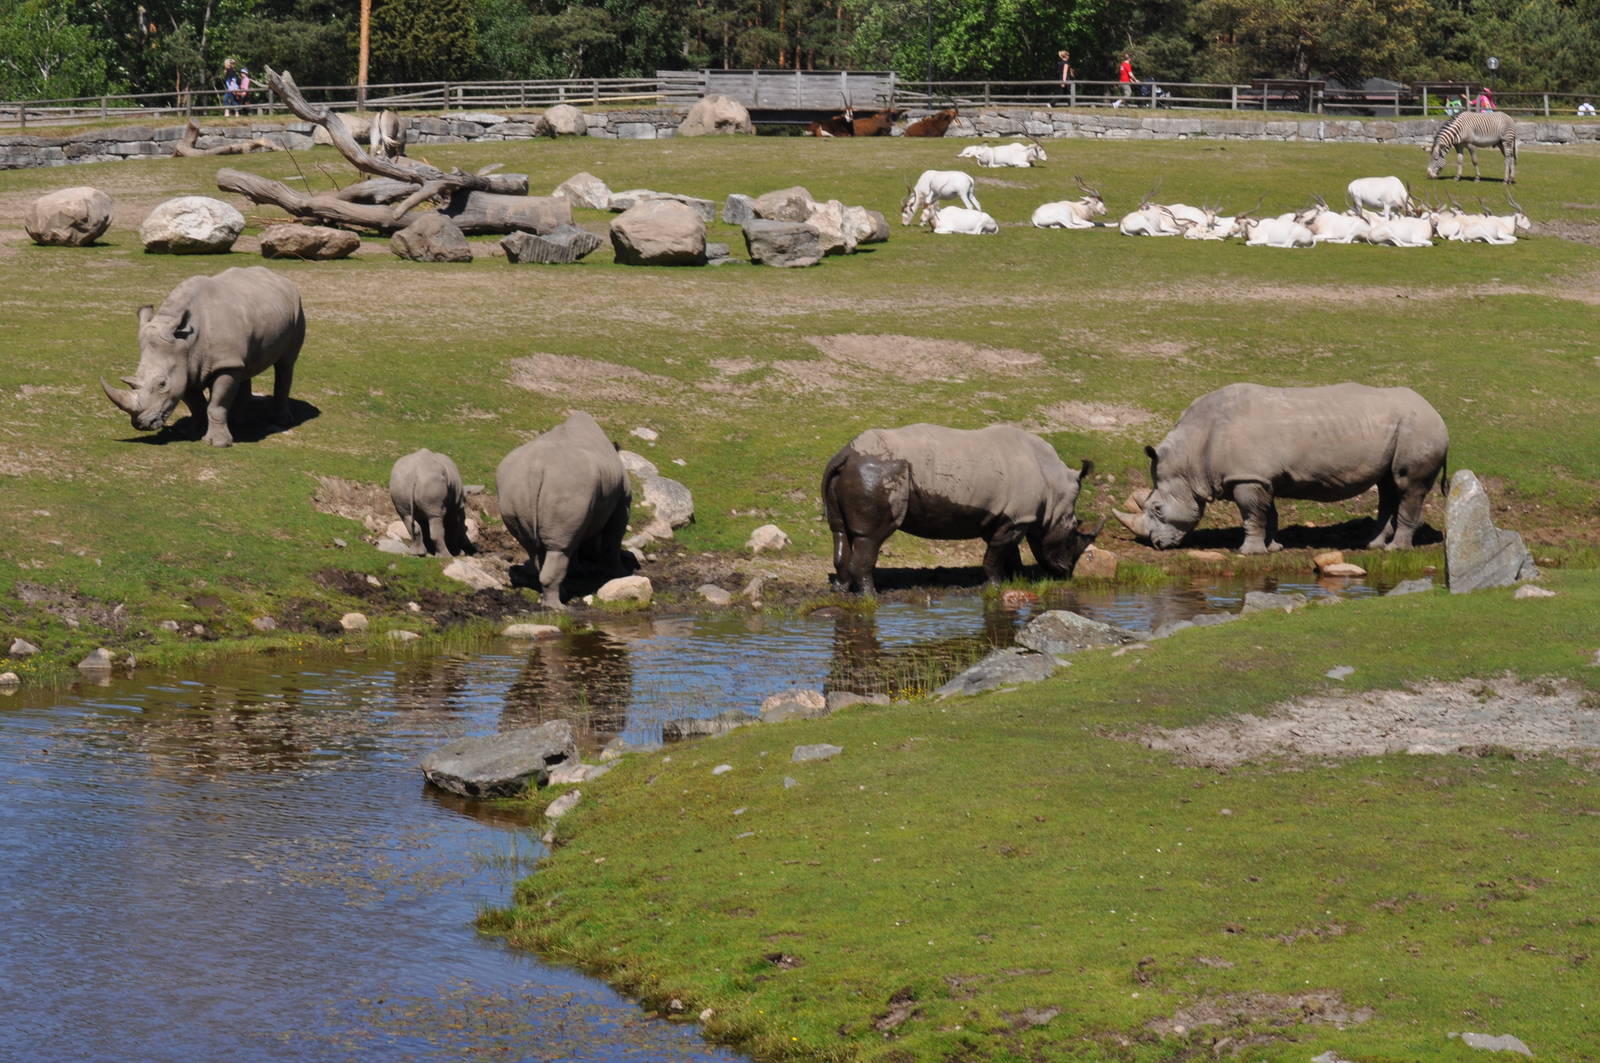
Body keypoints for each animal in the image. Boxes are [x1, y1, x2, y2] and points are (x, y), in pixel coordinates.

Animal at [101, 266, 305, 447]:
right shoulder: (186, 366)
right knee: (244, 366)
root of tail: (280, 277)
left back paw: (281, 421)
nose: (141, 424)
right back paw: (237, 420)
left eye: (162, 384)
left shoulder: (222, 365)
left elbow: (216, 404)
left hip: (297, 309)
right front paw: (191, 432)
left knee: (286, 364)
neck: (186, 340)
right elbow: (196, 405)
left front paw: (218, 443)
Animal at [495, 412, 631, 609]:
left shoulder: (584, 512)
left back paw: (555, 597)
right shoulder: (622, 502)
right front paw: (619, 573)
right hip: (567, 485)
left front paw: (578, 570)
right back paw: (558, 607)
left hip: (513, 487)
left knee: (537, 549)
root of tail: (535, 468)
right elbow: (613, 539)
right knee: (558, 549)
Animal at [822, 423, 1101, 595]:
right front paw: (995, 586)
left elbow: (1008, 553)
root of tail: (845, 455)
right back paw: (872, 596)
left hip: (855, 471)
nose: (1066, 572)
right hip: (878, 472)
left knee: (840, 531)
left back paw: (841, 590)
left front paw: (1017, 579)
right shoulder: (1016, 519)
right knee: (871, 537)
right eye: (1074, 530)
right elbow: (994, 557)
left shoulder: (1008, 518)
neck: (1054, 491)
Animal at [1114, 383, 1449, 554]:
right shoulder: (1262, 477)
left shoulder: (1248, 477)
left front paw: (1248, 552)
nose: (1156, 544)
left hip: (1420, 430)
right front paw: (1273, 547)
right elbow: (1268, 512)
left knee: (1408, 487)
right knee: (1387, 486)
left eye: (1157, 509)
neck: (1191, 458)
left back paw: (1397, 550)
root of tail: (1437, 413)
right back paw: (1373, 545)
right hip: (1402, 430)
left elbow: (1251, 514)